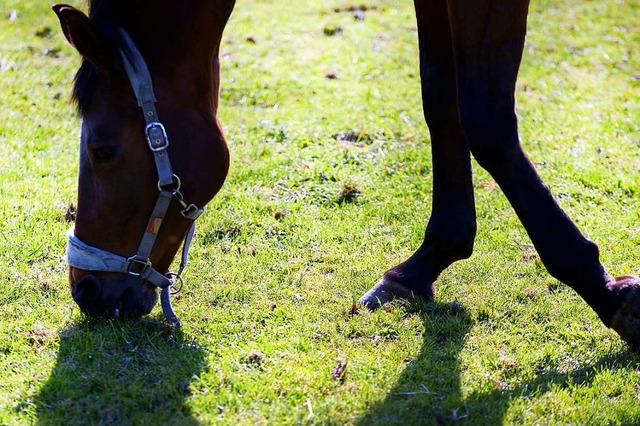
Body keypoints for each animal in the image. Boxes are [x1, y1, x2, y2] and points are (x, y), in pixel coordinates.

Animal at [53, 0, 640, 344]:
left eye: (103, 150)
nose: (86, 292)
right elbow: (440, 100)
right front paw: (424, 263)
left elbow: (485, 119)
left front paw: (607, 291)